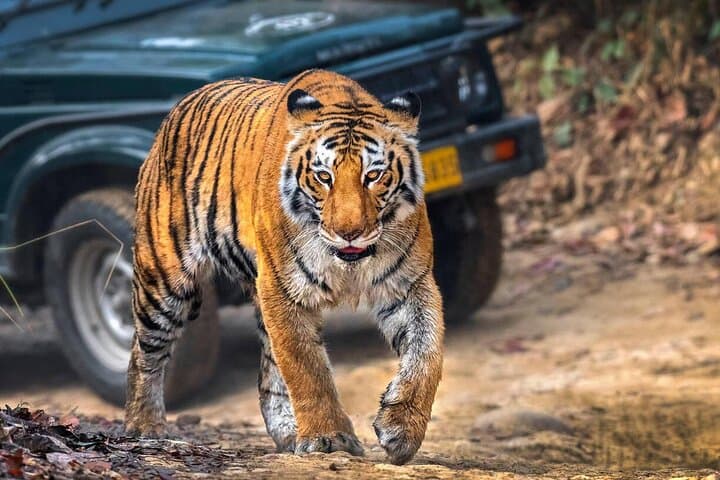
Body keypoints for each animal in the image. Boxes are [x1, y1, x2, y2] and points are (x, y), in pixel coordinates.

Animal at [125, 69, 444, 465]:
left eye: (374, 176)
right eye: (324, 177)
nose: (349, 232)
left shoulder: (410, 284)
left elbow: (428, 353)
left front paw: (401, 430)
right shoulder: (284, 289)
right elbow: (306, 366)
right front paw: (328, 438)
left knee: (268, 373)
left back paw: (288, 432)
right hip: (162, 279)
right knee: (144, 353)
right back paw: (145, 427)